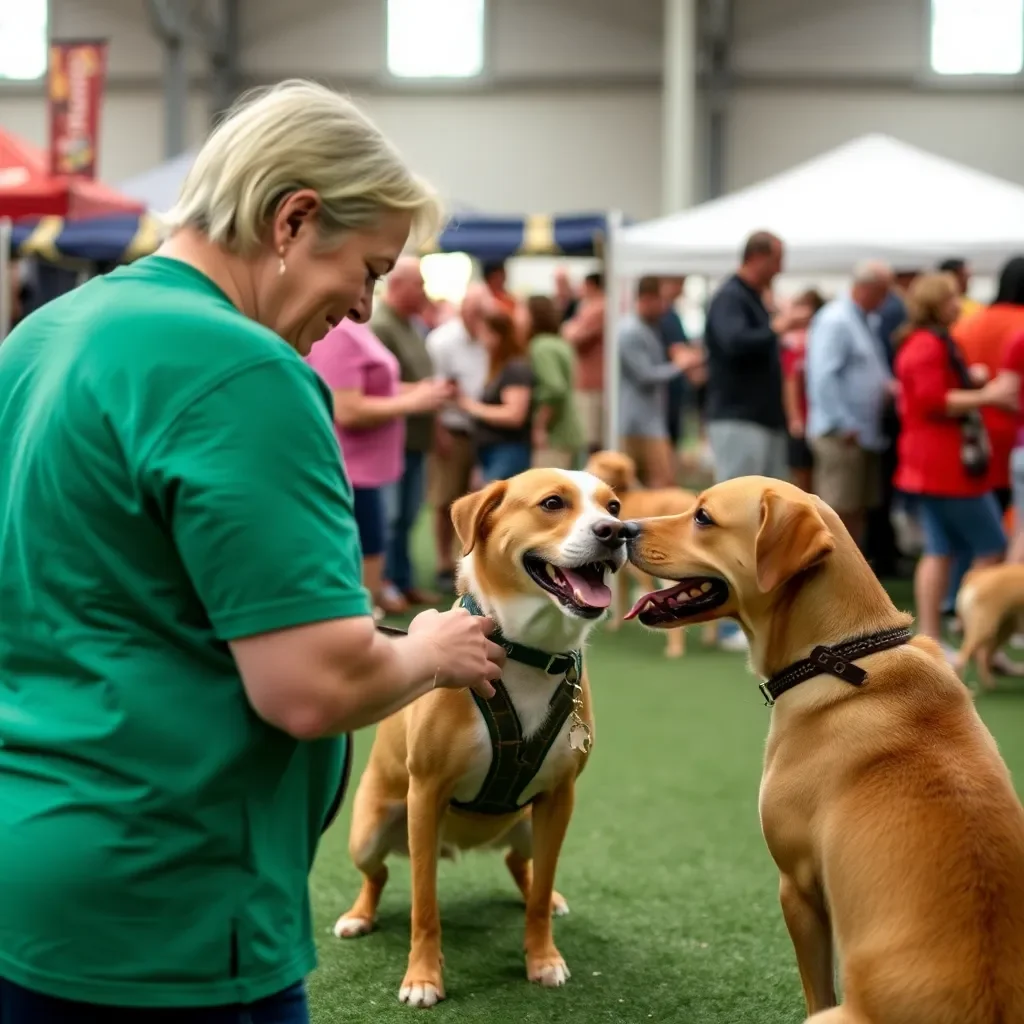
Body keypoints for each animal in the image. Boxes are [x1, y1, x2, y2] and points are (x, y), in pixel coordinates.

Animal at [335, 468, 626, 1007]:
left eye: (613, 506)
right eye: (552, 503)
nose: (618, 532)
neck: (527, 652)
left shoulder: (560, 798)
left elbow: (538, 892)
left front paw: (542, 958)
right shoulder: (426, 794)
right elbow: (424, 903)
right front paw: (423, 977)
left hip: (531, 826)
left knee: (521, 865)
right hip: (370, 831)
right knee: (378, 873)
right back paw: (359, 916)